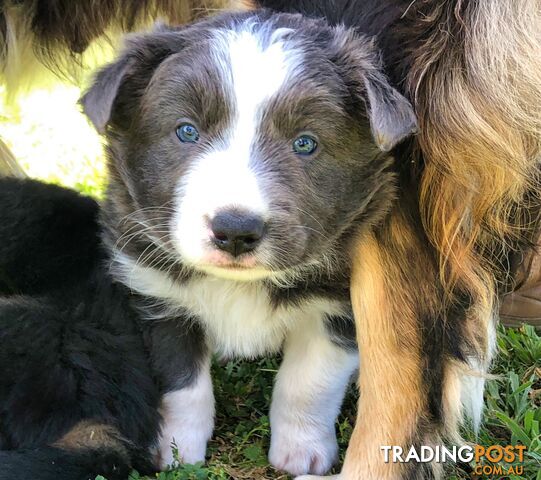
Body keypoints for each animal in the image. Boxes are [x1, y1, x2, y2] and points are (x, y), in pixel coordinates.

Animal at [0, 9, 416, 478]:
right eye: (186, 132)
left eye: (306, 143)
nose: (235, 229)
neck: (237, 284)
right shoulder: (156, 295)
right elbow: (182, 385)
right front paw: (177, 449)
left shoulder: (336, 306)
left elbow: (308, 382)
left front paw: (301, 451)